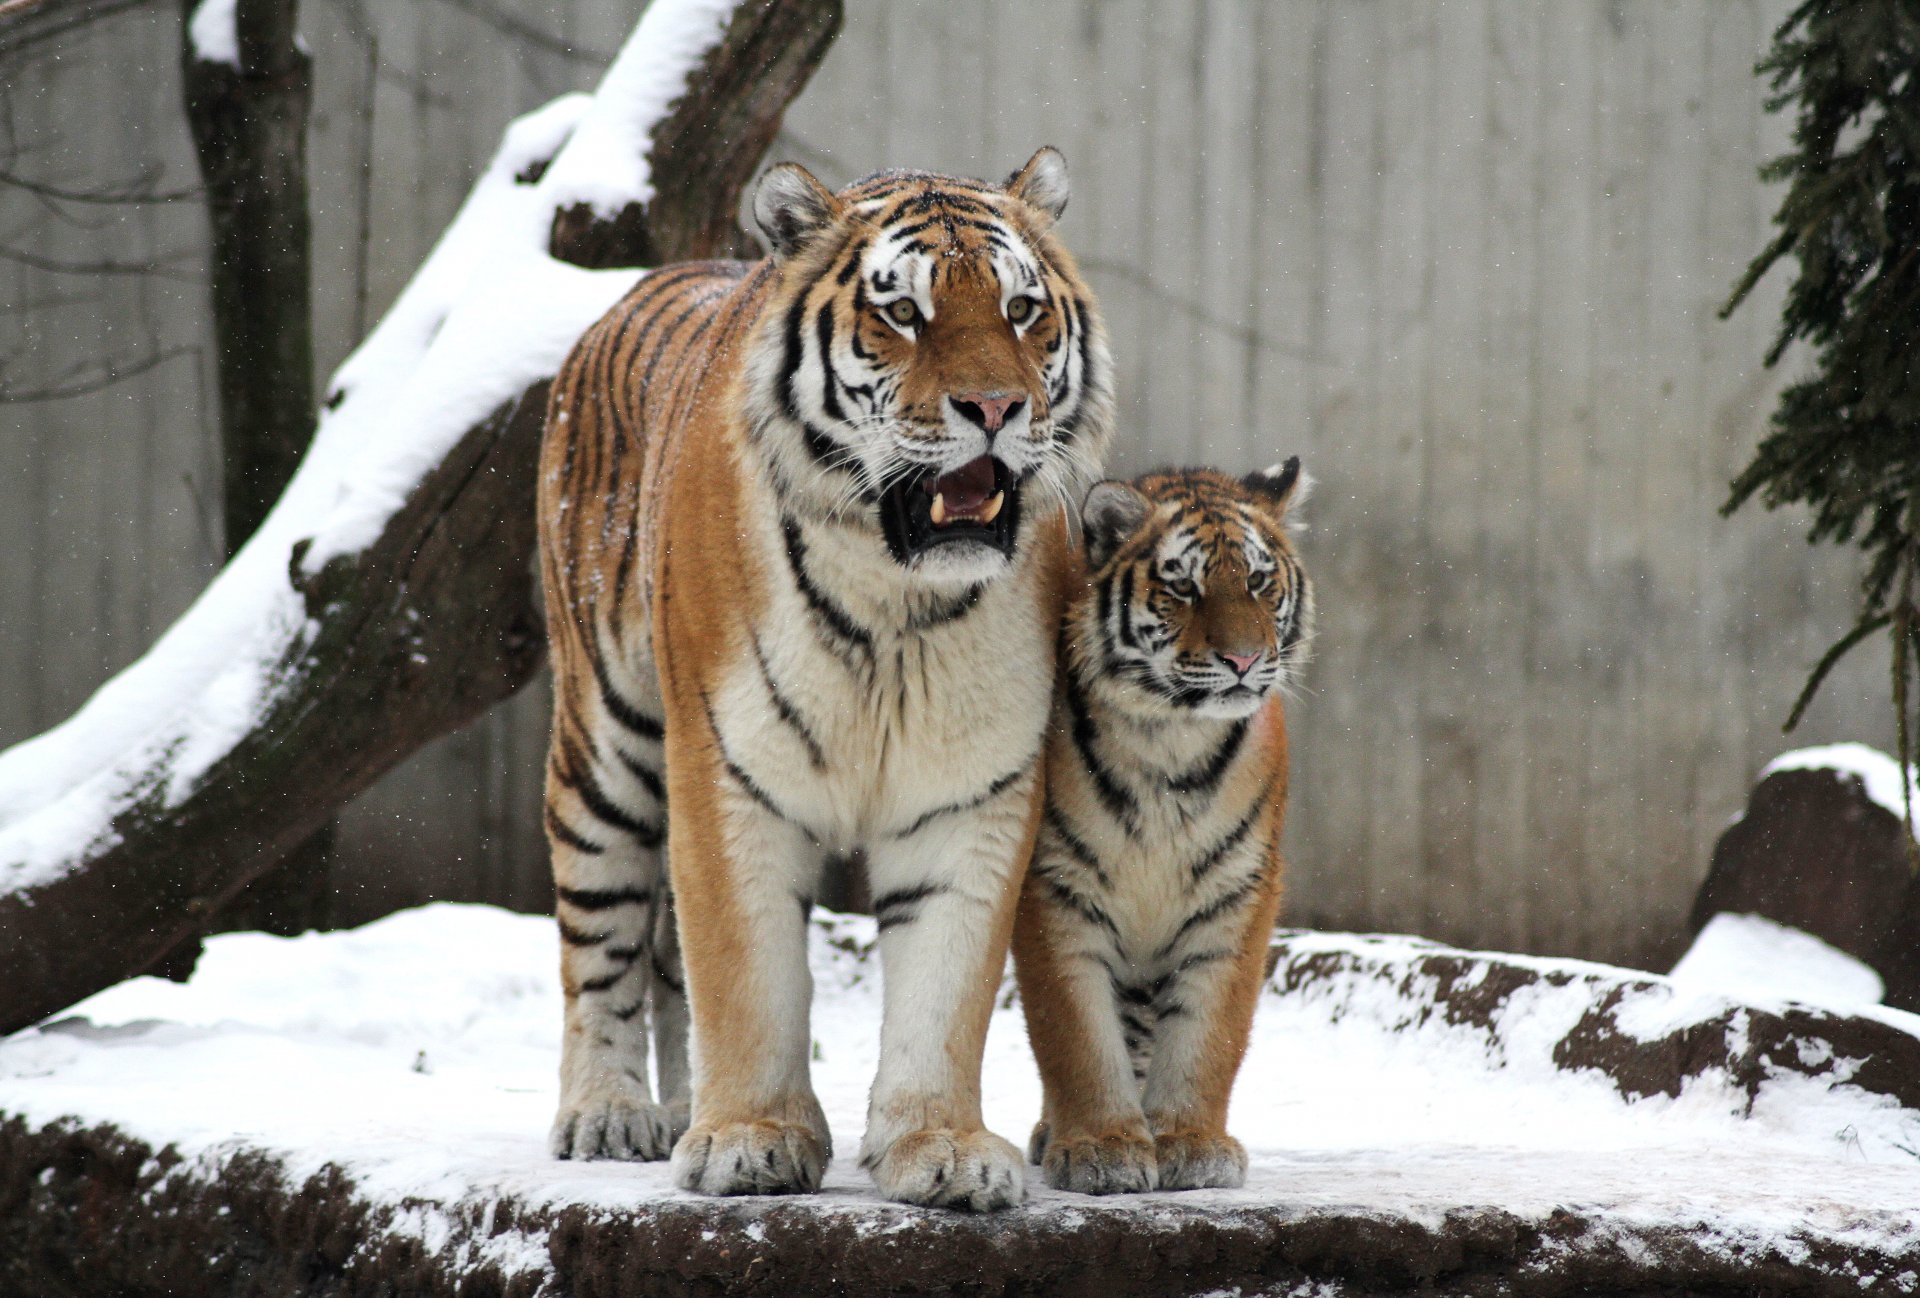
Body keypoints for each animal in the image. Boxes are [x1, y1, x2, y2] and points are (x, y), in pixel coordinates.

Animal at [537, 146, 1113, 1213]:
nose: (996, 409)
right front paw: (749, 1139)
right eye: (904, 313)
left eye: (1020, 310)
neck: (897, 601)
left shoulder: (970, 792)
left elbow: (943, 986)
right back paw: (609, 1113)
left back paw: (676, 1109)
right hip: (606, 740)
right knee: (601, 935)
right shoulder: (727, 771)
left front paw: (940, 1146)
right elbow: (744, 971)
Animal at [1013, 464, 1313, 1198]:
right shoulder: (1055, 889)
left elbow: (1209, 1034)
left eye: (1258, 581)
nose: (1243, 660)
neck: (1169, 738)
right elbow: (1075, 1036)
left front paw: (1189, 1142)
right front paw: (1102, 1147)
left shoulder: (1237, 893)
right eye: (1183, 586)